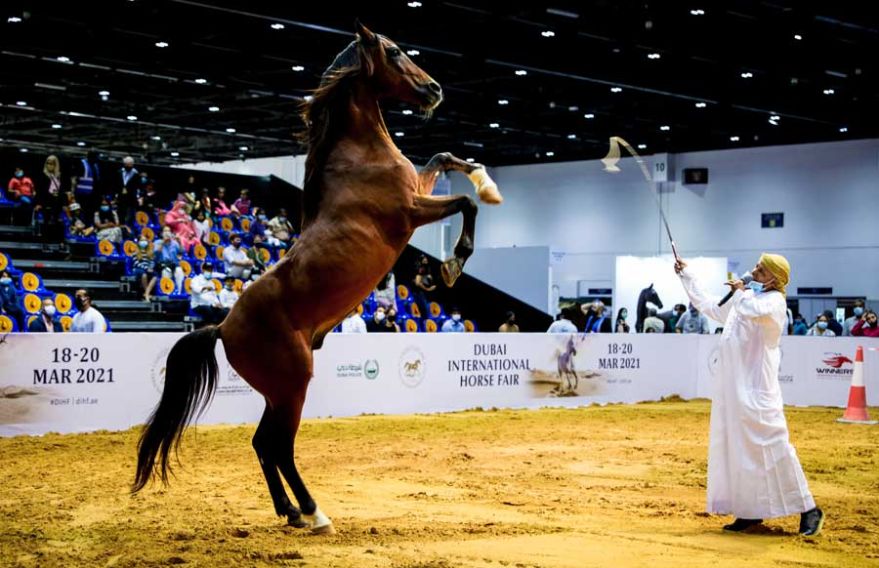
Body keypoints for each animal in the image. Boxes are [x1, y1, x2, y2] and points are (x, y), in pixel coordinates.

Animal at [132, 22, 503, 535]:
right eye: (393, 51)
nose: (434, 90)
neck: (359, 157)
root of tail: (223, 325)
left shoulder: (419, 188)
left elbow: (444, 158)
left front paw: (486, 180)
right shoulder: (410, 211)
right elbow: (464, 204)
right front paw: (453, 263)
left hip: (276, 391)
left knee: (262, 444)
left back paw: (290, 512)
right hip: (293, 385)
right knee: (278, 446)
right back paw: (314, 512)